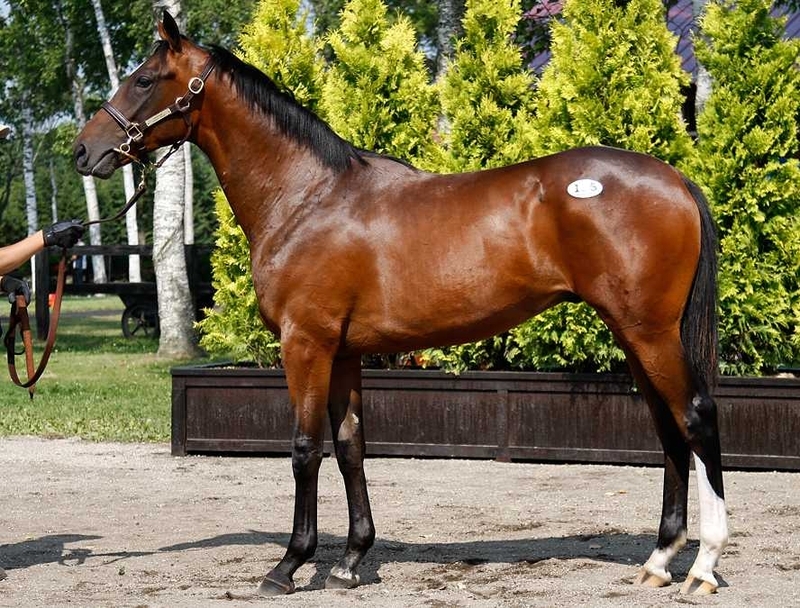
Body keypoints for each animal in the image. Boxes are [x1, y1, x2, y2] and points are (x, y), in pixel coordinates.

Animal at [73, 12, 728, 597]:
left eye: (143, 79)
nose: (84, 150)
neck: (308, 198)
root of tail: (674, 179)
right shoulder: (343, 353)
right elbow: (351, 446)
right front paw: (349, 561)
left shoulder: (305, 344)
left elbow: (305, 449)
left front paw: (288, 565)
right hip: (633, 334)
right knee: (667, 429)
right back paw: (658, 561)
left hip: (649, 332)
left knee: (696, 417)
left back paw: (701, 567)